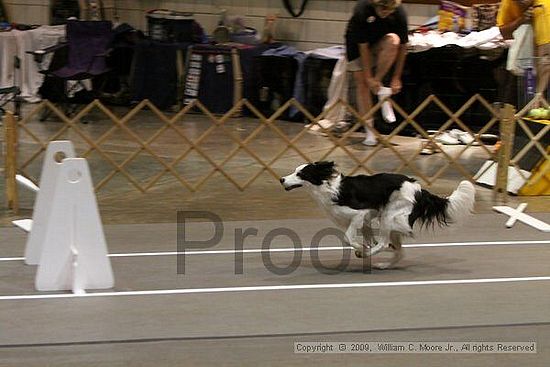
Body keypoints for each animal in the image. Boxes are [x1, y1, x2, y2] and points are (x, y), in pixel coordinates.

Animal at [282, 162, 476, 268]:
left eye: (301, 174)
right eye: (295, 171)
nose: (281, 179)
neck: (328, 188)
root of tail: (420, 190)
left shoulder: (359, 214)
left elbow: (348, 238)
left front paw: (361, 249)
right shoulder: (365, 221)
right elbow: (370, 239)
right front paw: (366, 247)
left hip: (389, 217)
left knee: (387, 241)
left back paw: (369, 255)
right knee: (398, 250)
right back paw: (383, 264)